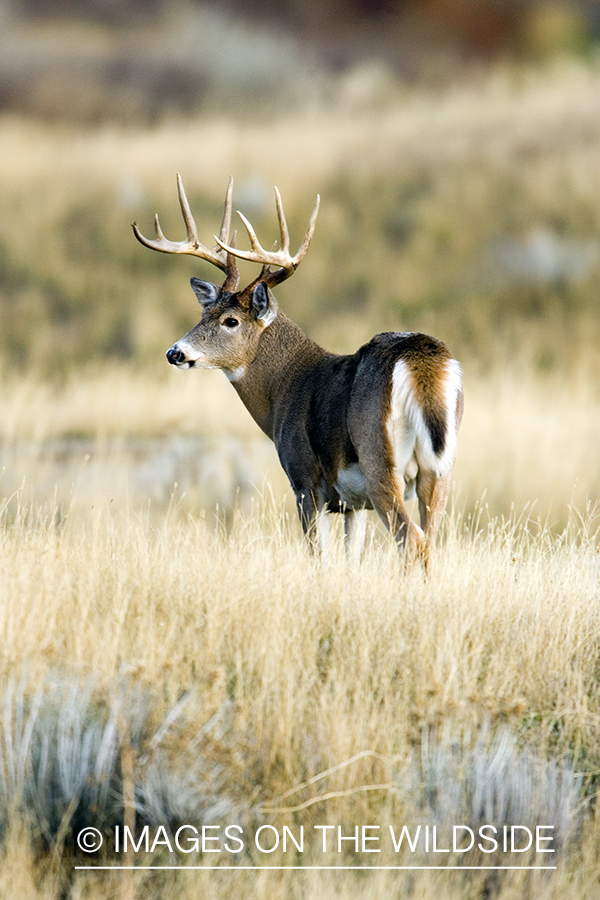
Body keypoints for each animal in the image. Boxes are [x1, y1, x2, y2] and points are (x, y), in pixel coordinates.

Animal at [133, 175, 463, 565]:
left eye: (231, 320)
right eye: (204, 314)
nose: (175, 352)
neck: (286, 386)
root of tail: (420, 360)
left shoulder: (304, 480)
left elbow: (320, 559)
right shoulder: (353, 505)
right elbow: (351, 561)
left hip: (379, 458)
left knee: (410, 539)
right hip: (440, 468)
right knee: (430, 540)